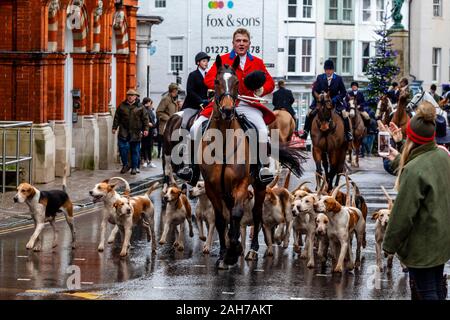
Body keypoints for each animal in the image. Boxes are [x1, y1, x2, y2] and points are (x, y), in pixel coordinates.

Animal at [200, 55, 306, 268]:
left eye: (237, 82)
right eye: (216, 81)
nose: (227, 110)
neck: (224, 140)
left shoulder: (241, 184)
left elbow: (237, 214)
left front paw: (233, 251)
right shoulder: (212, 187)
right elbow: (221, 219)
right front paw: (224, 253)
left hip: (259, 186)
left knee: (256, 214)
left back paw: (253, 249)